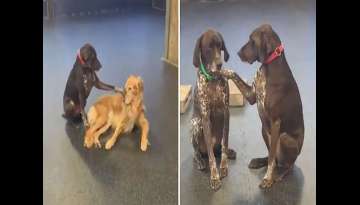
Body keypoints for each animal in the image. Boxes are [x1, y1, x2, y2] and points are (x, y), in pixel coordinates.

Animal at [219, 24, 304, 189]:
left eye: (252, 41)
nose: (238, 53)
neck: (268, 67)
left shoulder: (276, 122)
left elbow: (272, 160)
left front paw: (268, 178)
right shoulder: (251, 95)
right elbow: (235, 74)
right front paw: (223, 70)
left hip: (284, 138)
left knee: (286, 164)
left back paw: (279, 174)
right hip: (264, 130)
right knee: (274, 156)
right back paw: (259, 161)